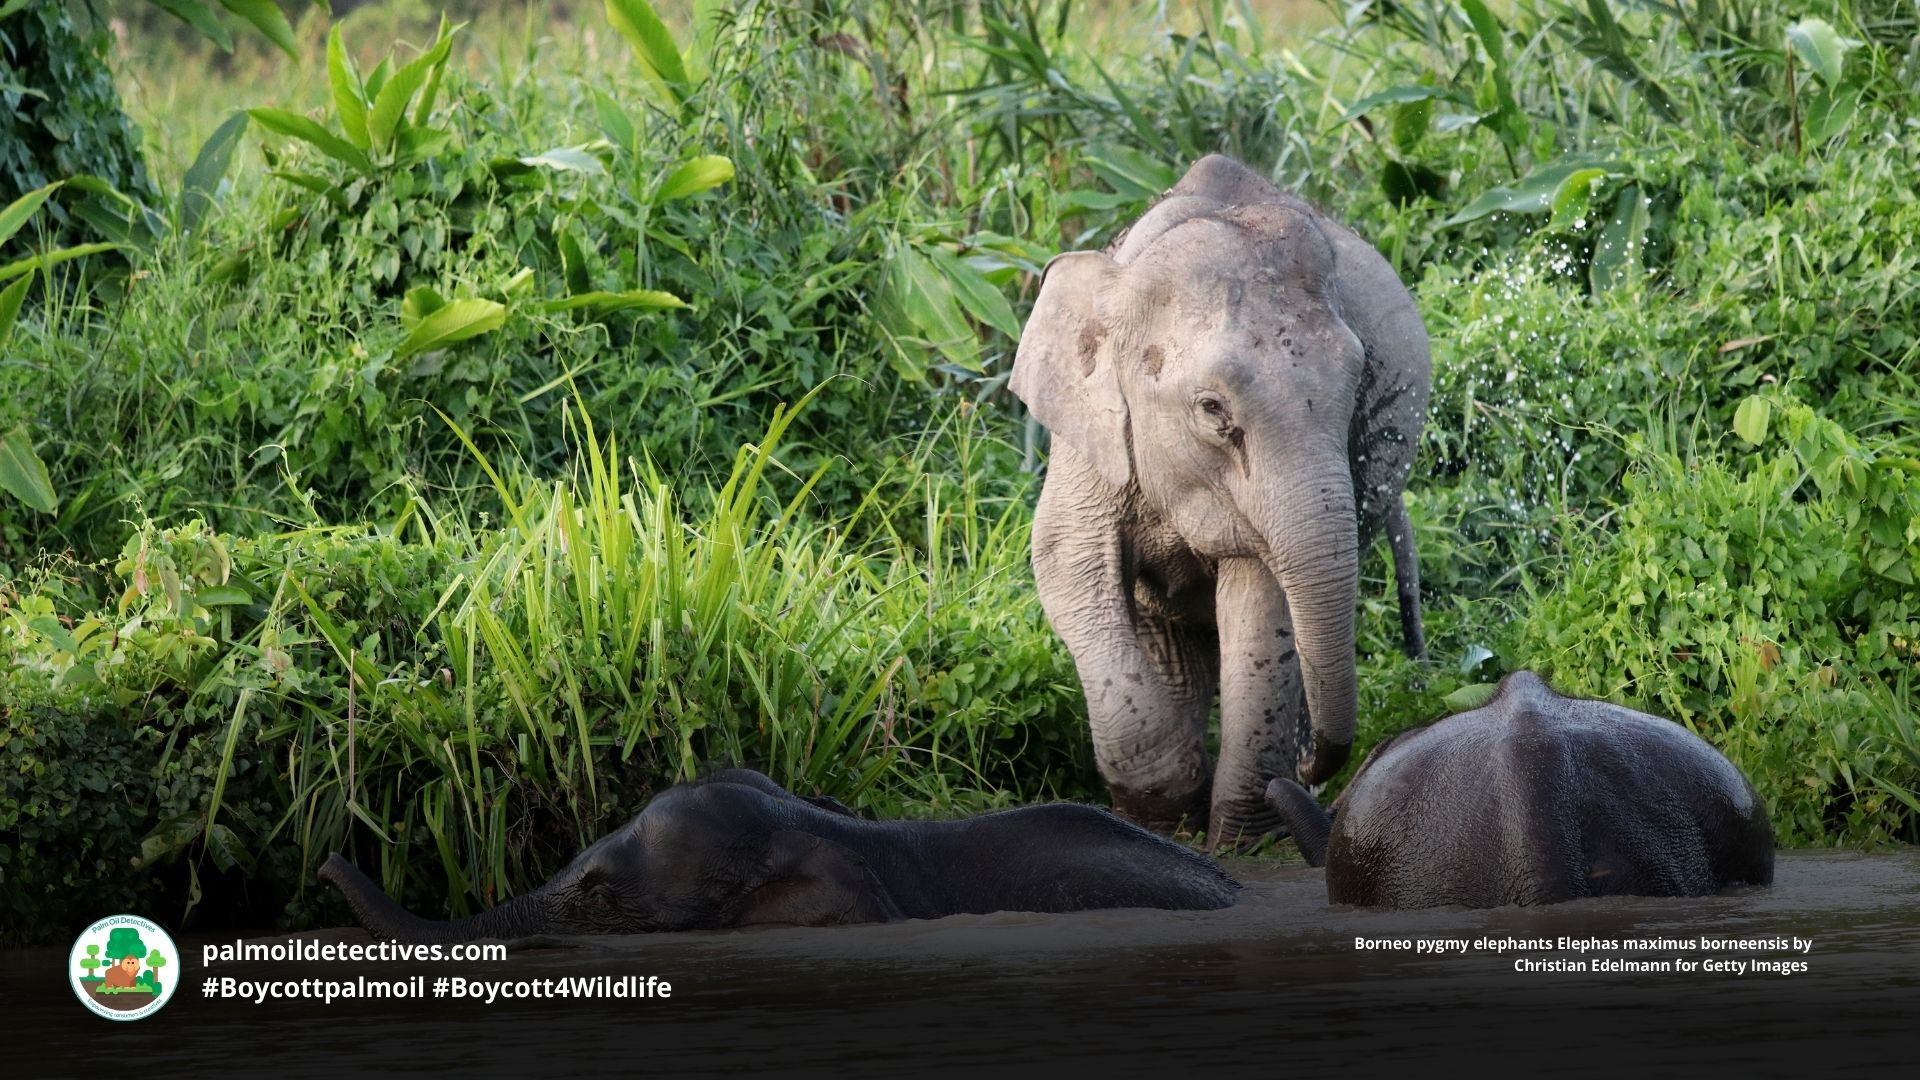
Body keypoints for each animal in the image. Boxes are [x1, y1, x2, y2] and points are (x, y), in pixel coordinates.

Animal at [1011, 153, 1431, 846]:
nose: (1313, 765)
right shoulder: (1090, 437)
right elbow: (1068, 564)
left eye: (1359, 391)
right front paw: (1167, 811)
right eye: (1213, 409)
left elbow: (1261, 596)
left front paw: (1239, 839)